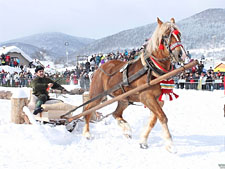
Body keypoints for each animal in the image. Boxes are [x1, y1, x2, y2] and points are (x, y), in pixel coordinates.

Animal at [81, 17, 185, 152]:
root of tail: (98, 69)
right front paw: (170, 144)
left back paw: (126, 130)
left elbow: (153, 120)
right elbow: (162, 117)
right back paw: (87, 133)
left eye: (179, 35)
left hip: (124, 99)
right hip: (97, 95)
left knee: (116, 113)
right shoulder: (146, 97)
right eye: (166, 35)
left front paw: (143, 141)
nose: (181, 54)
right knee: (88, 110)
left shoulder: (158, 100)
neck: (151, 68)